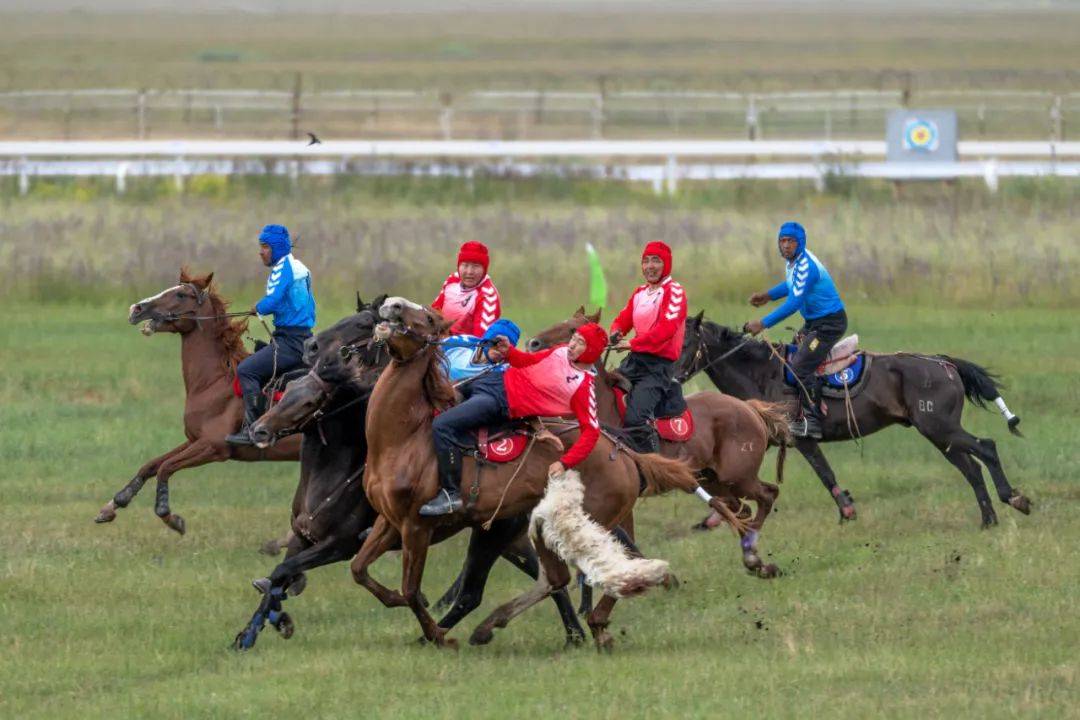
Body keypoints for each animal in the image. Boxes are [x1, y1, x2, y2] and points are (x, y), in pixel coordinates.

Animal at [95, 269, 302, 535]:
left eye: (181, 295)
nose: (136, 308)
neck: (213, 383)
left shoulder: (213, 447)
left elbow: (166, 467)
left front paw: (170, 516)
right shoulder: (194, 440)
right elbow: (151, 465)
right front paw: (112, 505)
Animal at [233, 295, 587, 651]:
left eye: (310, 401)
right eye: (287, 390)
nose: (259, 430)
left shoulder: (344, 543)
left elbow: (291, 570)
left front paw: (275, 619)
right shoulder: (306, 537)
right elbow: (281, 574)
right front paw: (250, 632)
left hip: (493, 533)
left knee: (476, 593)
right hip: (504, 534)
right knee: (546, 579)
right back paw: (573, 633)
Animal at [349, 295, 747, 651]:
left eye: (430, 318)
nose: (392, 305)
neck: (404, 438)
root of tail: (620, 449)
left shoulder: (417, 526)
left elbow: (411, 589)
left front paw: (437, 635)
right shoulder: (390, 521)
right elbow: (360, 569)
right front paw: (401, 605)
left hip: (586, 521)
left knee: (606, 566)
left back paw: (593, 621)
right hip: (542, 524)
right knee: (559, 576)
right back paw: (500, 626)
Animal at [673, 315, 1028, 528]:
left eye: (687, 343)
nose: (672, 377)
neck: (761, 374)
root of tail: (944, 363)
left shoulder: (803, 439)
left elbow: (825, 473)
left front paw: (847, 511)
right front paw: (715, 518)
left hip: (940, 428)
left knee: (987, 448)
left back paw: (1014, 498)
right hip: (941, 436)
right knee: (972, 468)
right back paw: (988, 519)